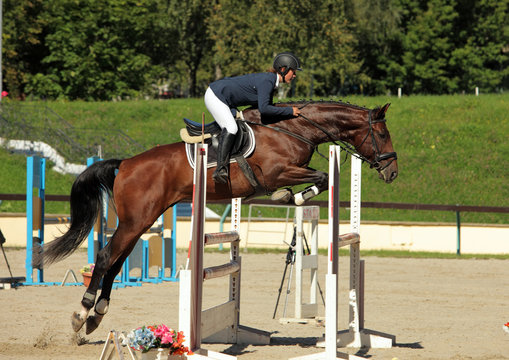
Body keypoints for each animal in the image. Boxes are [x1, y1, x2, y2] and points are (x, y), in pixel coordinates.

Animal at [32, 100, 396, 334]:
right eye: (382, 134)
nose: (392, 172)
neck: (295, 128)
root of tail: (126, 163)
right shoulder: (277, 172)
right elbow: (319, 176)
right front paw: (290, 197)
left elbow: (319, 177)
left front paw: (292, 197)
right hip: (135, 221)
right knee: (107, 256)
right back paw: (82, 312)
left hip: (142, 221)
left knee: (117, 261)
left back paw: (97, 315)